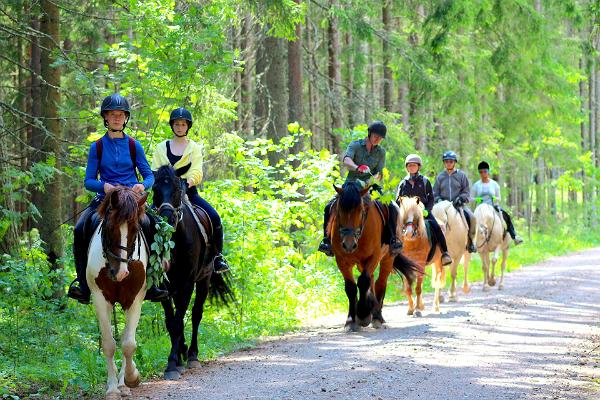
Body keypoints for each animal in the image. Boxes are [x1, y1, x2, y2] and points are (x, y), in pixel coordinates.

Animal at [85, 188, 149, 400]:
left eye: (135, 229)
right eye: (110, 227)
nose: (120, 272)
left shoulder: (134, 300)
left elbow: (128, 343)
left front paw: (131, 377)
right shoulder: (100, 299)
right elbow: (109, 344)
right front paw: (112, 389)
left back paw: (124, 384)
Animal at [151, 166, 233, 382]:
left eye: (178, 191)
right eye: (154, 189)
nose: (167, 219)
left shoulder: (187, 283)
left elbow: (179, 322)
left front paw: (173, 363)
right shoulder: (164, 286)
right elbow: (171, 322)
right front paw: (176, 359)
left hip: (204, 279)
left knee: (196, 314)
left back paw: (193, 356)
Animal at [328, 182, 418, 332]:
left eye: (361, 211)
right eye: (339, 210)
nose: (348, 244)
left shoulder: (373, 257)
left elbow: (363, 281)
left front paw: (363, 315)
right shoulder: (342, 260)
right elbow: (351, 287)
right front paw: (350, 321)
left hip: (387, 258)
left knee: (379, 283)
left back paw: (377, 317)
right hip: (361, 263)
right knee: (371, 281)